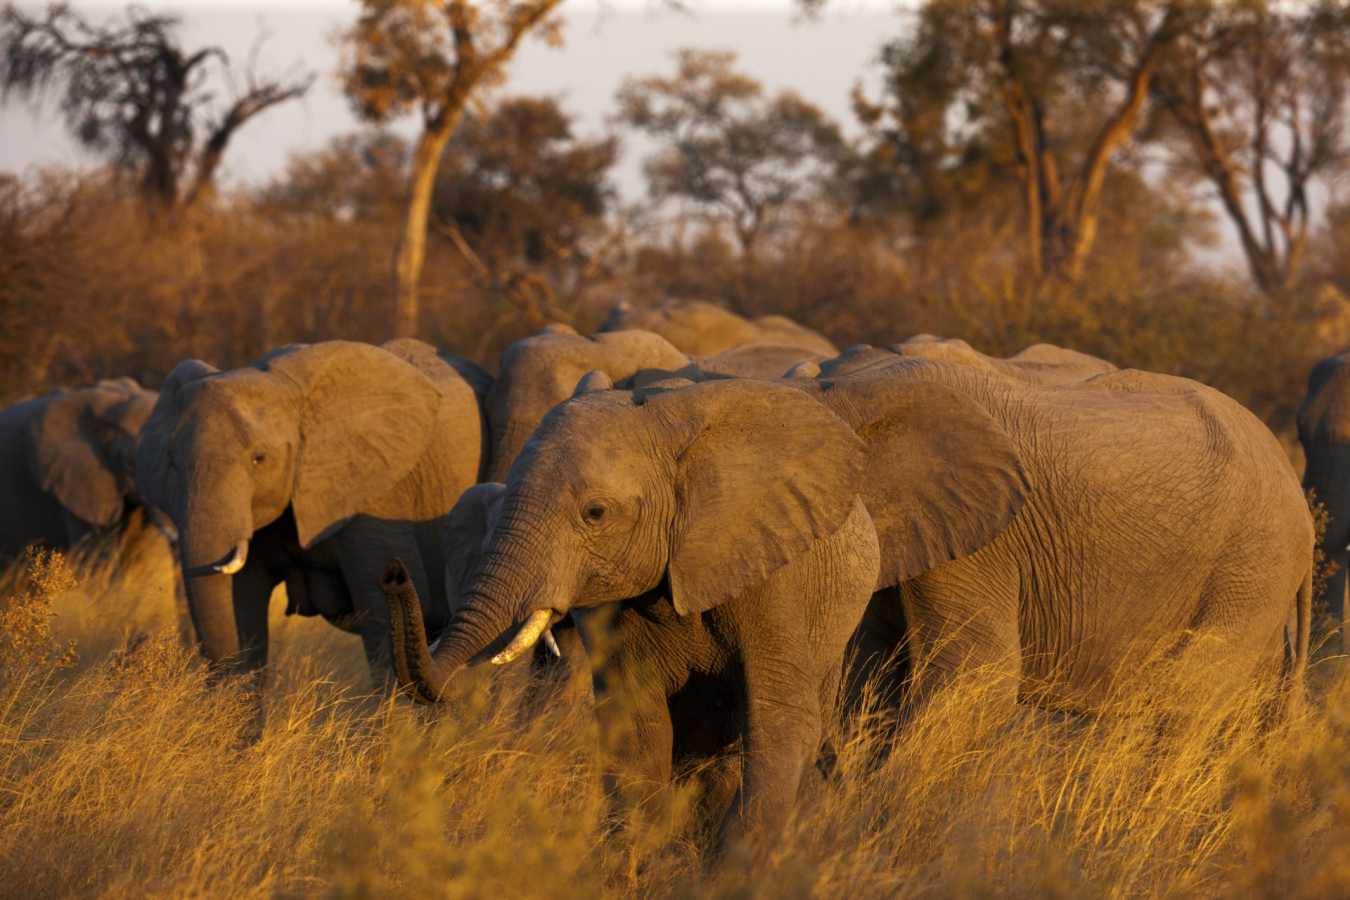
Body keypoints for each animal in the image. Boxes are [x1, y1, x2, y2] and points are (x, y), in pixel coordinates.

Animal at [383, 375, 881, 853]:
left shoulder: (774, 575)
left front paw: (740, 864)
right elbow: (635, 720)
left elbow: (779, 716)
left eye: (595, 513)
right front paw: (644, 857)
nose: (393, 573)